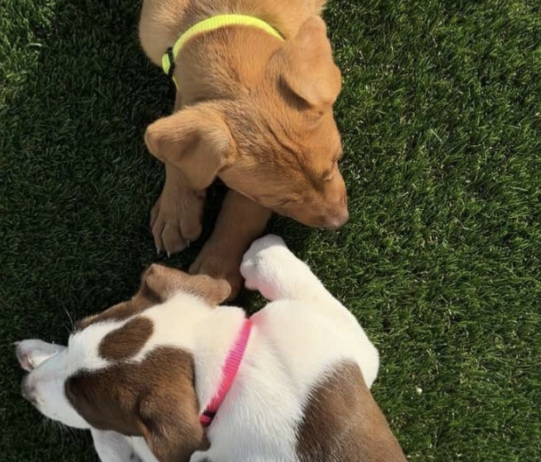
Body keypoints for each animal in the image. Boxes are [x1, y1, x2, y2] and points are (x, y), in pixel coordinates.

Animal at [16, 236, 406, 462]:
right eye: (74, 335)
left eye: (84, 405)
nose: (26, 390)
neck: (234, 370)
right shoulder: (347, 348)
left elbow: (113, 439)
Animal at [139, 0, 349, 299]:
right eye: (281, 201)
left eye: (334, 162)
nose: (340, 222)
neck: (223, 12)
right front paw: (175, 212)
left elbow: (242, 212)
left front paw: (216, 268)